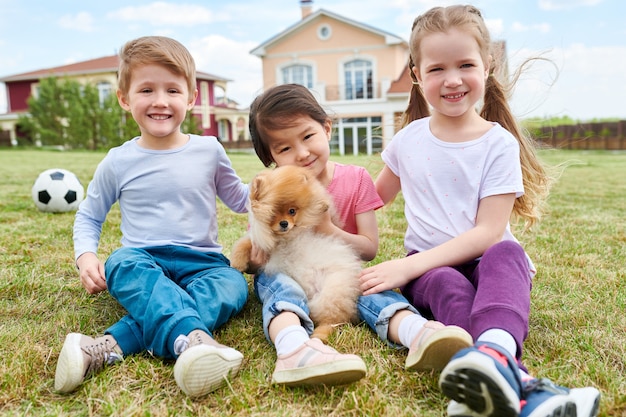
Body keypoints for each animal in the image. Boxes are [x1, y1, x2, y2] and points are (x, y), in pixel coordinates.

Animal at [230, 164, 360, 340]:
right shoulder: (259, 242)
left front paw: (321, 206)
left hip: (333, 290)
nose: (284, 223)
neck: (285, 238)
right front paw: (237, 263)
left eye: (292, 211)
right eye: (273, 214)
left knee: (333, 319)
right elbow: (244, 244)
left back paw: (318, 336)